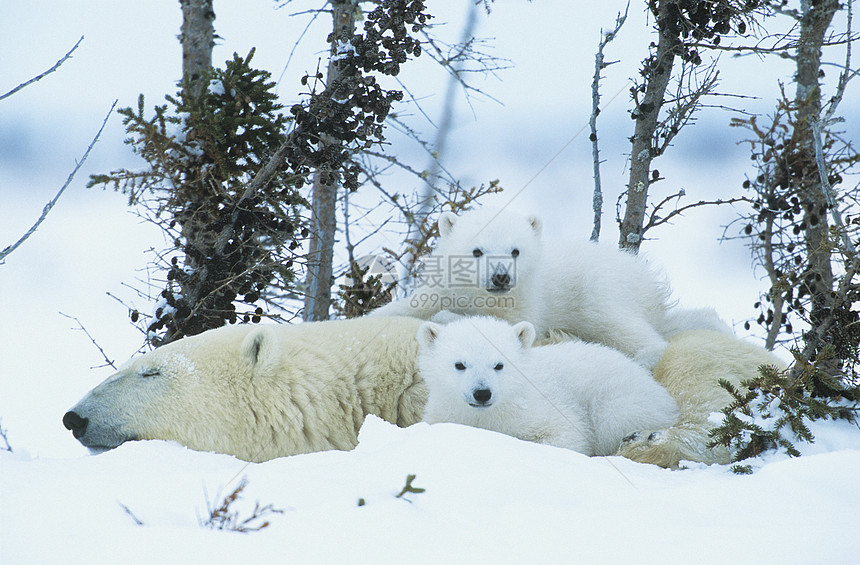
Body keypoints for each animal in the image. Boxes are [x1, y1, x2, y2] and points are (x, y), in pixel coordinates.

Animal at [372, 206, 724, 366]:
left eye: (515, 250)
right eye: (477, 251)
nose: (501, 277)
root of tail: (645, 277)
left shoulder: (527, 299)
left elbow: (513, 326)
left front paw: (448, 318)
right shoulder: (441, 285)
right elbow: (407, 307)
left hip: (601, 286)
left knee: (619, 323)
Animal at [414, 316, 680, 456]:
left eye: (499, 364)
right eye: (460, 364)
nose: (482, 393)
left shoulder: (539, 407)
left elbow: (568, 434)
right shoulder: (444, 412)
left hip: (621, 399)